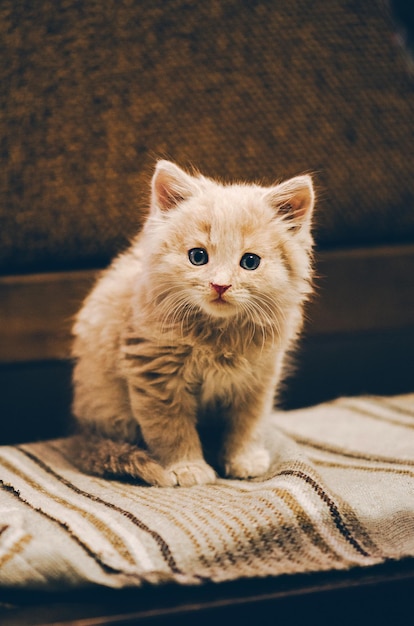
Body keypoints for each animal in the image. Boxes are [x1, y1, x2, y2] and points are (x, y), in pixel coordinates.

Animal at [70, 158, 314, 486]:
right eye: (197, 256)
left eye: (250, 262)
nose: (220, 285)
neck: (218, 335)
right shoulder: (155, 373)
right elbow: (171, 428)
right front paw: (188, 468)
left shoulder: (259, 378)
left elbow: (248, 423)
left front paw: (244, 459)